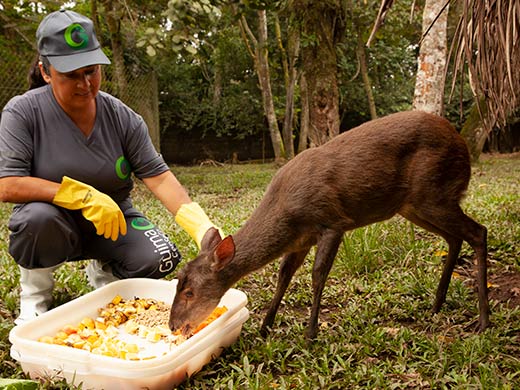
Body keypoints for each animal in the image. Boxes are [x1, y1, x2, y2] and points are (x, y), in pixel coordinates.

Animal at [172, 110, 492, 338]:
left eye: (190, 292)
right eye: (178, 284)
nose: (174, 325)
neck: (286, 211)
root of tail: (463, 144)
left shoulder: (331, 222)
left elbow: (317, 275)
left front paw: (310, 333)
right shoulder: (299, 240)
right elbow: (283, 277)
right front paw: (265, 327)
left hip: (434, 192)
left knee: (478, 231)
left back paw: (483, 320)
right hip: (414, 205)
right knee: (455, 238)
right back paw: (437, 305)